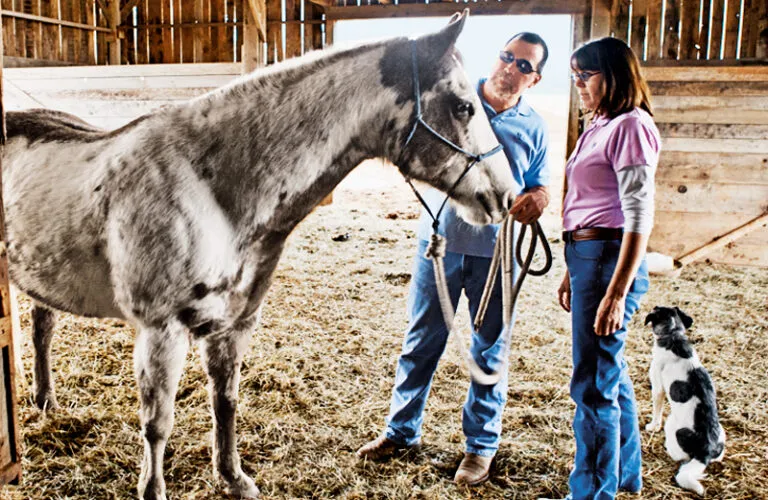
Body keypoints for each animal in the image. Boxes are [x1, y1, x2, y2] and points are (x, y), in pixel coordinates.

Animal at [1, 11, 516, 500]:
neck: (210, 189)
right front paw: (153, 489)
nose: (506, 195)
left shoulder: (234, 325)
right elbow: (157, 423)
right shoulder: (161, 332)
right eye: (464, 106)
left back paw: (45, 403)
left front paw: (233, 478)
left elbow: (225, 402)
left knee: (42, 328)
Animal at [640, 306, 728, 494]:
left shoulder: (658, 388)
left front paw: (652, 427)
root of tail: (706, 451)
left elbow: (656, 412)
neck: (673, 335)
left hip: (671, 424)